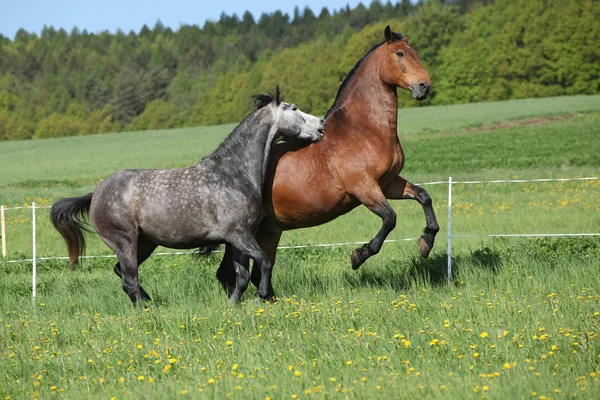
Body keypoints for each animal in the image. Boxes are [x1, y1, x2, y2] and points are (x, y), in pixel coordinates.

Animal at [50, 87, 328, 304]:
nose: (322, 125)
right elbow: (264, 262)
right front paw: (261, 295)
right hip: (124, 242)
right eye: (294, 109)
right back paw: (146, 310)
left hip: (144, 244)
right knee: (129, 280)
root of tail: (96, 193)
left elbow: (242, 276)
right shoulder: (238, 234)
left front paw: (232, 305)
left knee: (124, 275)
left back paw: (150, 301)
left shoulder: (239, 238)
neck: (232, 174)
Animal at [217, 26, 440, 298]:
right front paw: (358, 255)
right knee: (236, 272)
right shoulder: (364, 187)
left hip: (269, 230)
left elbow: (424, 196)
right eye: (400, 54)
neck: (363, 130)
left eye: (415, 53)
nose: (424, 86)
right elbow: (390, 218)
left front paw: (425, 242)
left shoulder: (388, 184)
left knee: (256, 271)